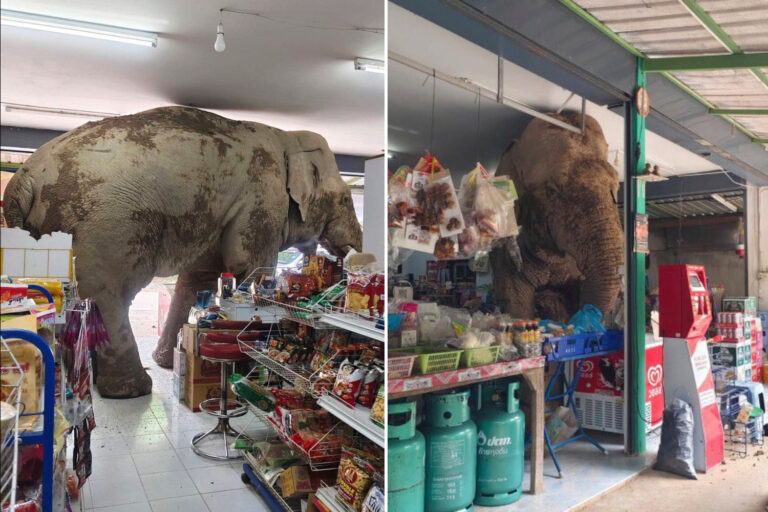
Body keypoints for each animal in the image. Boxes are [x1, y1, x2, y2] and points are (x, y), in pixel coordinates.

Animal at [4, 106, 362, 398]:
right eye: (346, 199)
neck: (287, 137)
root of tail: (22, 179)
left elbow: (198, 279)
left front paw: (172, 360)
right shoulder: (263, 195)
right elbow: (251, 267)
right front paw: (249, 373)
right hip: (107, 224)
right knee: (109, 292)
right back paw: (133, 390)